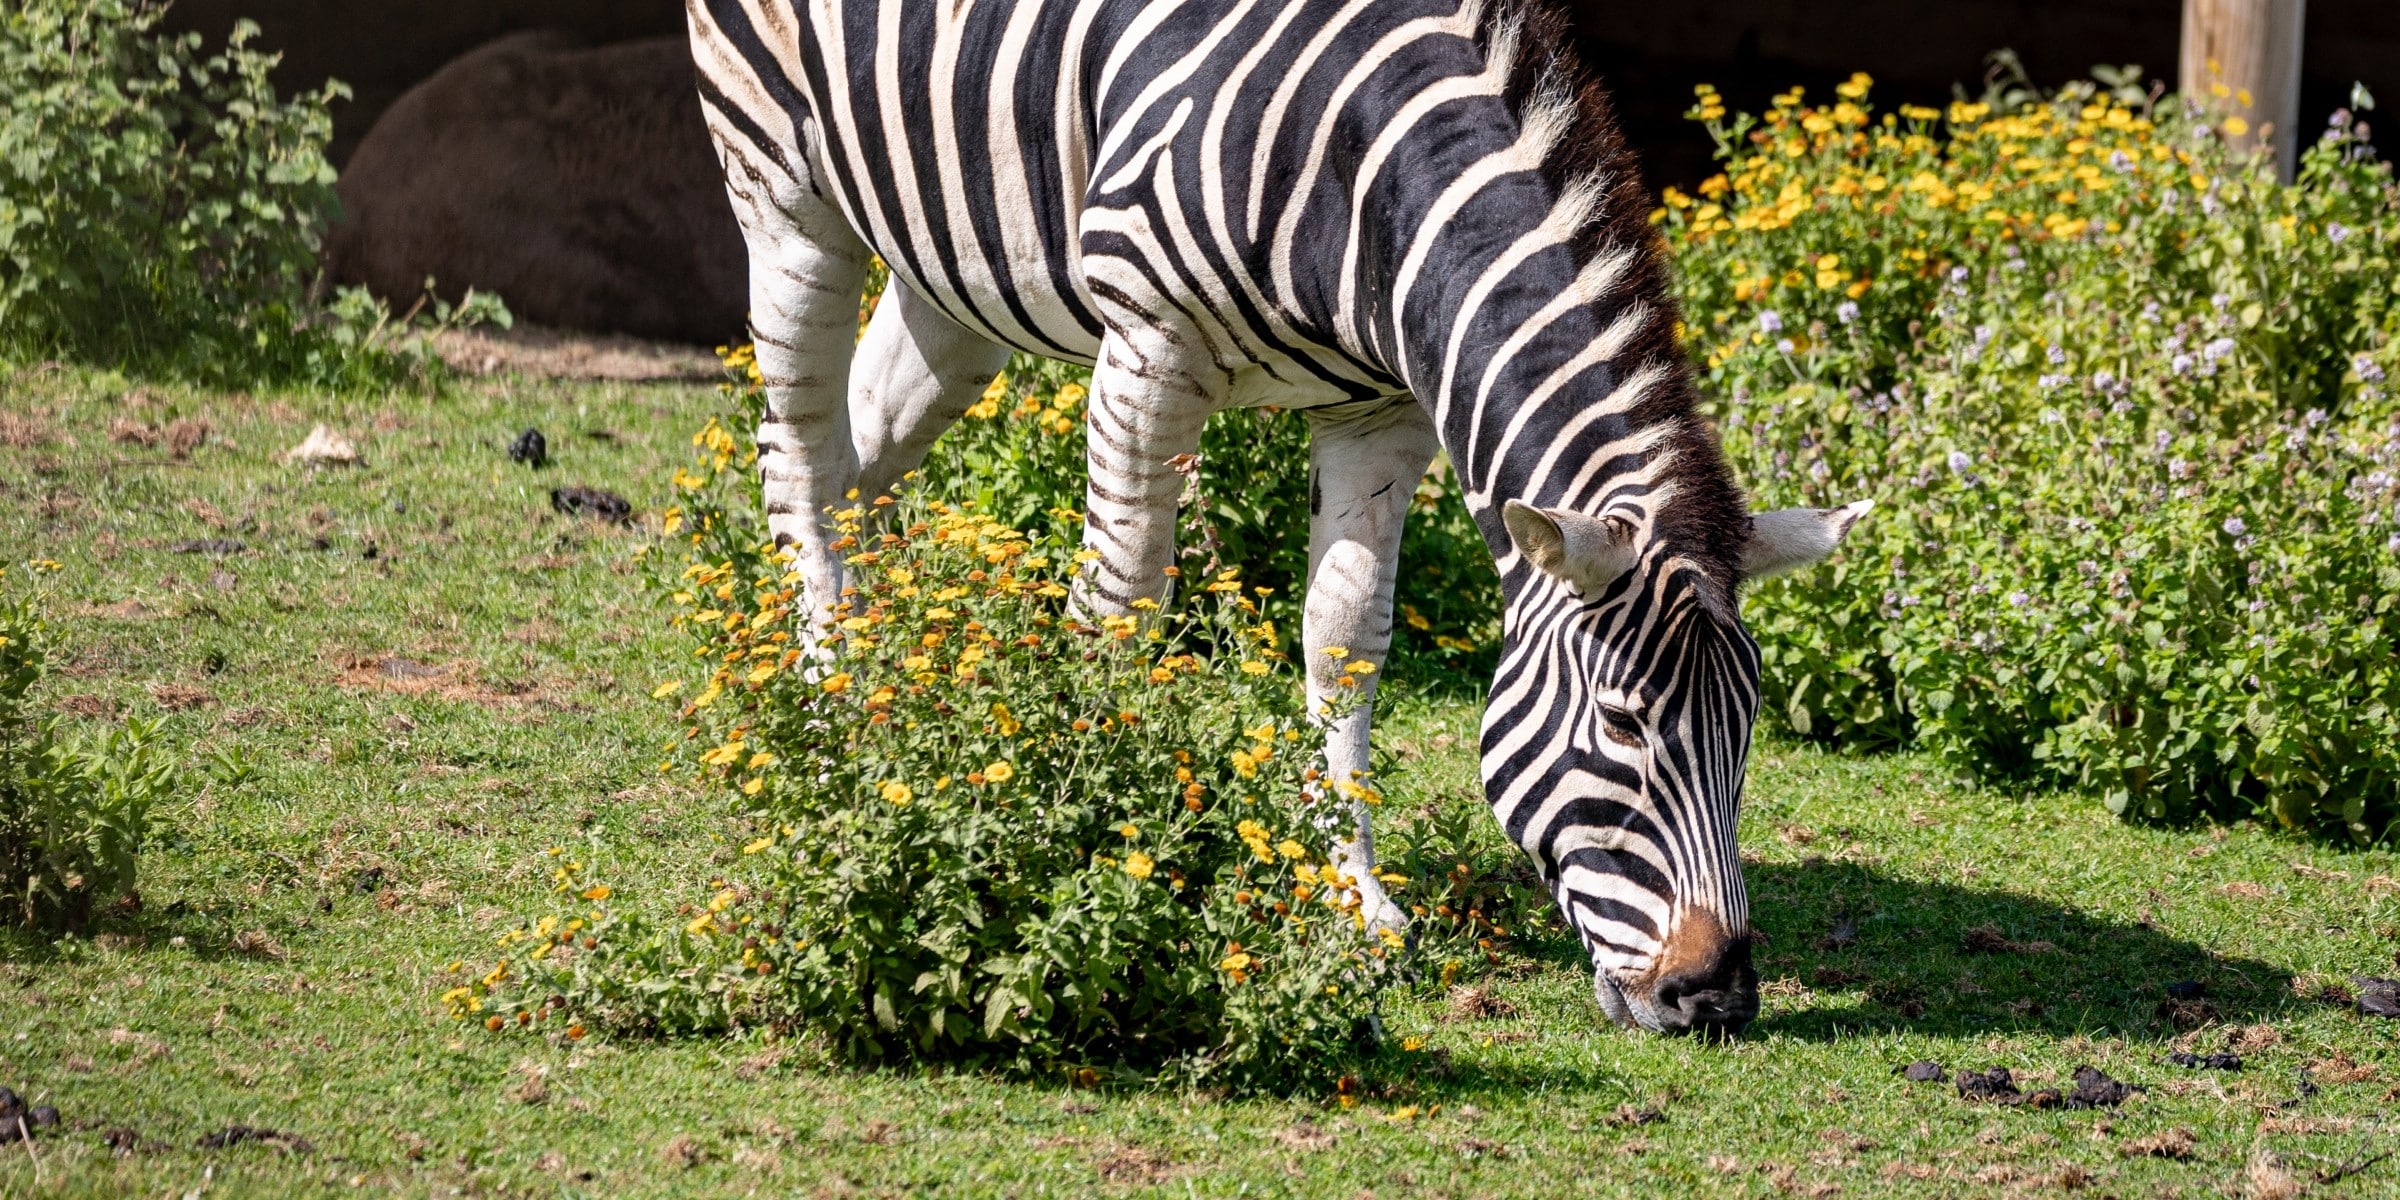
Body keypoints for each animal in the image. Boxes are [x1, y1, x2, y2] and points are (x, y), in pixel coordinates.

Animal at [688, 0, 1870, 1035]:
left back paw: (891, 699)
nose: (1715, 998)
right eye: (1623, 723)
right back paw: (831, 724)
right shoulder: (1146, 355)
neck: (1364, 180)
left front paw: (1355, 894)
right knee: (802, 462)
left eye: (1747, 725)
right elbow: (1121, 612)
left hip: (957, 269)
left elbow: (1347, 640)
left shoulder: (1383, 409)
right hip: (783, 189)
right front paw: (1086, 837)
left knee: (859, 463)